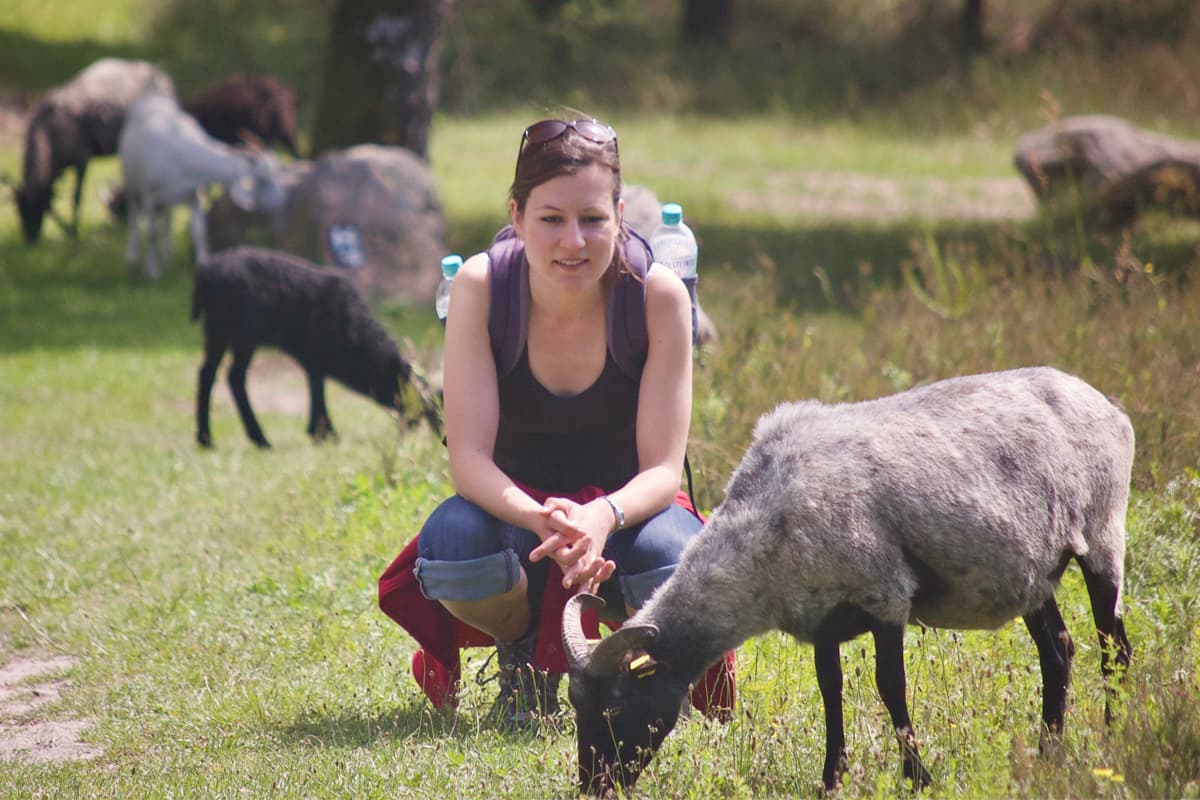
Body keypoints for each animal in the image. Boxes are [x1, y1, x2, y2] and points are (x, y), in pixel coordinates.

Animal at [118, 86, 283, 277]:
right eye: (263, 179)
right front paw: (152, 271)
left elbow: (199, 231)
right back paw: (132, 255)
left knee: (167, 219)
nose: (281, 200)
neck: (181, 154)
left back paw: (168, 254)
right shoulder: (150, 196)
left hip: (168, 199)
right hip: (131, 181)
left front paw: (203, 263)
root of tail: (152, 94)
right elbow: (151, 233)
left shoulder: (194, 194)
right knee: (134, 213)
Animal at [192, 244, 441, 450]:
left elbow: (316, 384)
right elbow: (317, 387)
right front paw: (324, 433)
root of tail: (206, 273)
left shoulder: (312, 356)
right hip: (242, 334)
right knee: (234, 377)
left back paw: (206, 439)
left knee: (207, 374)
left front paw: (321, 431)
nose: (439, 434)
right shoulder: (316, 352)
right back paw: (259, 439)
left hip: (217, 330)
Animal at [561, 367, 1132, 796]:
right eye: (576, 705)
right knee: (1058, 651)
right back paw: (1049, 754)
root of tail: (1108, 406)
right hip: (1032, 571)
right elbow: (829, 691)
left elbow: (890, 686)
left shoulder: (885, 595)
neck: (766, 521)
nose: (593, 788)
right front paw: (830, 781)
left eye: (614, 706)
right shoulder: (822, 617)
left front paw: (918, 779)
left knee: (1114, 647)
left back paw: (1112, 743)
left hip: (1102, 535)